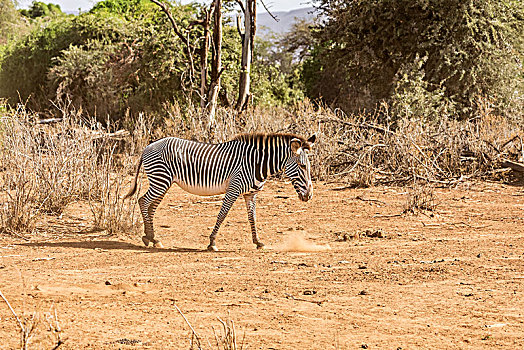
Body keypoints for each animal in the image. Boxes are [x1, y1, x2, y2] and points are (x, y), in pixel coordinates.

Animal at [125, 133, 318, 250]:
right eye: (302, 166)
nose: (309, 196)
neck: (256, 164)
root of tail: (148, 146)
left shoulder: (251, 193)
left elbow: (253, 218)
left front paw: (258, 242)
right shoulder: (233, 189)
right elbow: (222, 215)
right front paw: (212, 242)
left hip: (164, 182)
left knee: (151, 206)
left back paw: (153, 238)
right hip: (161, 180)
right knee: (143, 201)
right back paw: (149, 237)